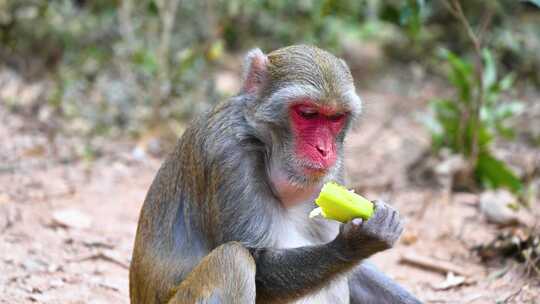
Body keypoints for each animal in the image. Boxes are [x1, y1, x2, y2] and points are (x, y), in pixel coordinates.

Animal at [127, 45, 422, 304]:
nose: (324, 150)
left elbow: (351, 272)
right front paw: (356, 243)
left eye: (335, 118)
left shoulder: (335, 172)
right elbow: (258, 264)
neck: (264, 145)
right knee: (233, 260)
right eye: (308, 113)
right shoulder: (228, 155)